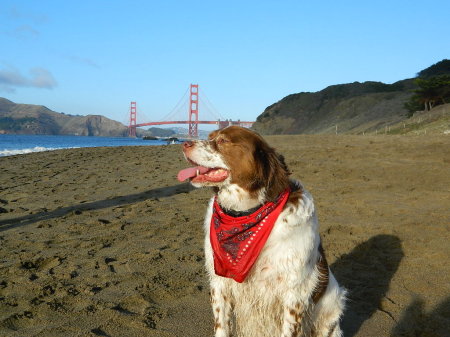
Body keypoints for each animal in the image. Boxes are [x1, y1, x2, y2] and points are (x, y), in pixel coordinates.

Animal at [178, 126, 346, 336]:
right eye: (210, 137)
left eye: (223, 141)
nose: (184, 143)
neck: (245, 212)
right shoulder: (219, 283)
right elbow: (221, 326)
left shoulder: (295, 291)